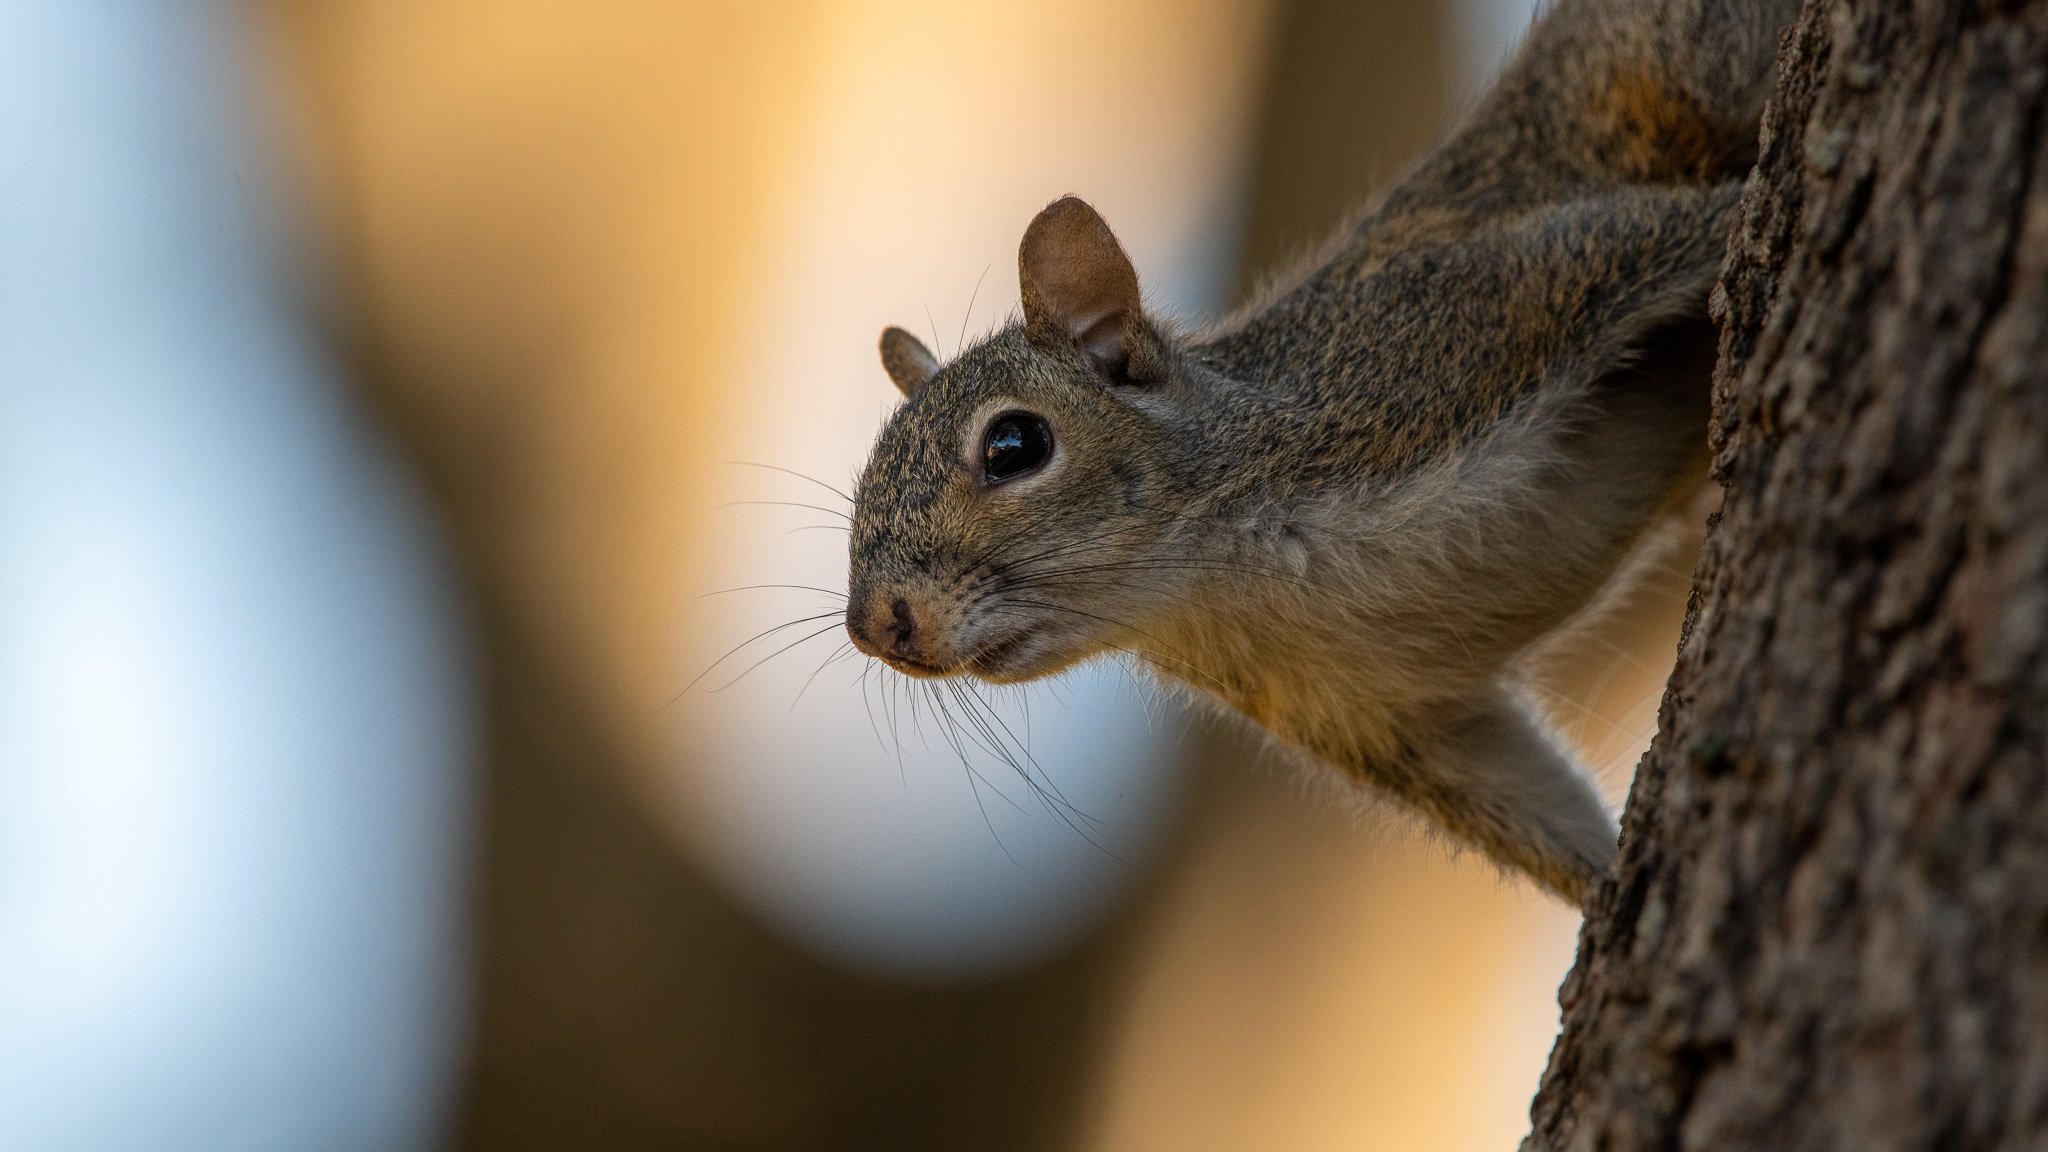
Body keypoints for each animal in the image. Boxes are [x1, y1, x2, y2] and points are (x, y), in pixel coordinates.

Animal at [842, 0, 1799, 904]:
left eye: (1014, 445)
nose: (877, 627)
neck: (1221, 582)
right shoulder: (1381, 715)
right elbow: (1519, 792)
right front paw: (1605, 896)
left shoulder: (1466, 330)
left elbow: (1663, 229)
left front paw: (1742, 207)